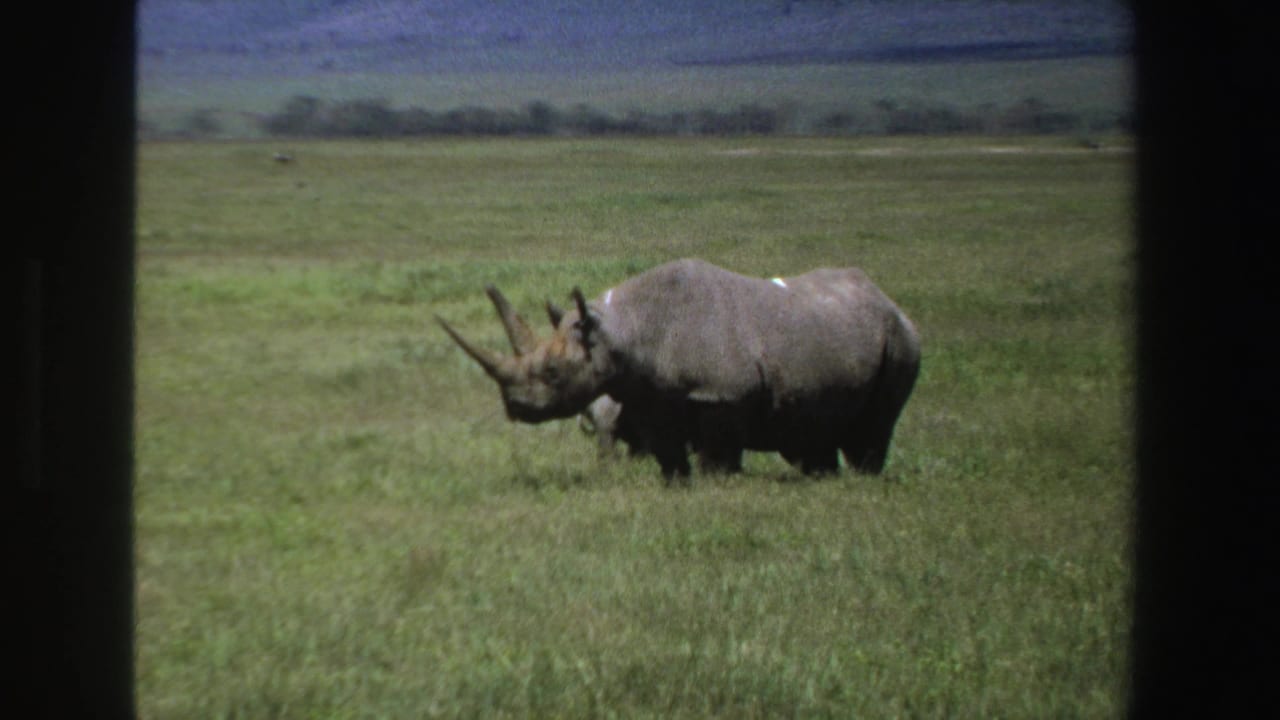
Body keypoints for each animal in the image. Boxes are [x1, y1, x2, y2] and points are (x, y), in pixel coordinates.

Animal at [437, 258, 921, 482]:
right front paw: (676, 484)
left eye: (554, 372)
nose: (515, 407)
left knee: (876, 426)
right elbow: (668, 453)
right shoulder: (650, 396)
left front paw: (717, 483)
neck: (623, 328)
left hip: (899, 341)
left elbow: (716, 456)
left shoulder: (722, 394)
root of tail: (886, 298)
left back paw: (862, 477)